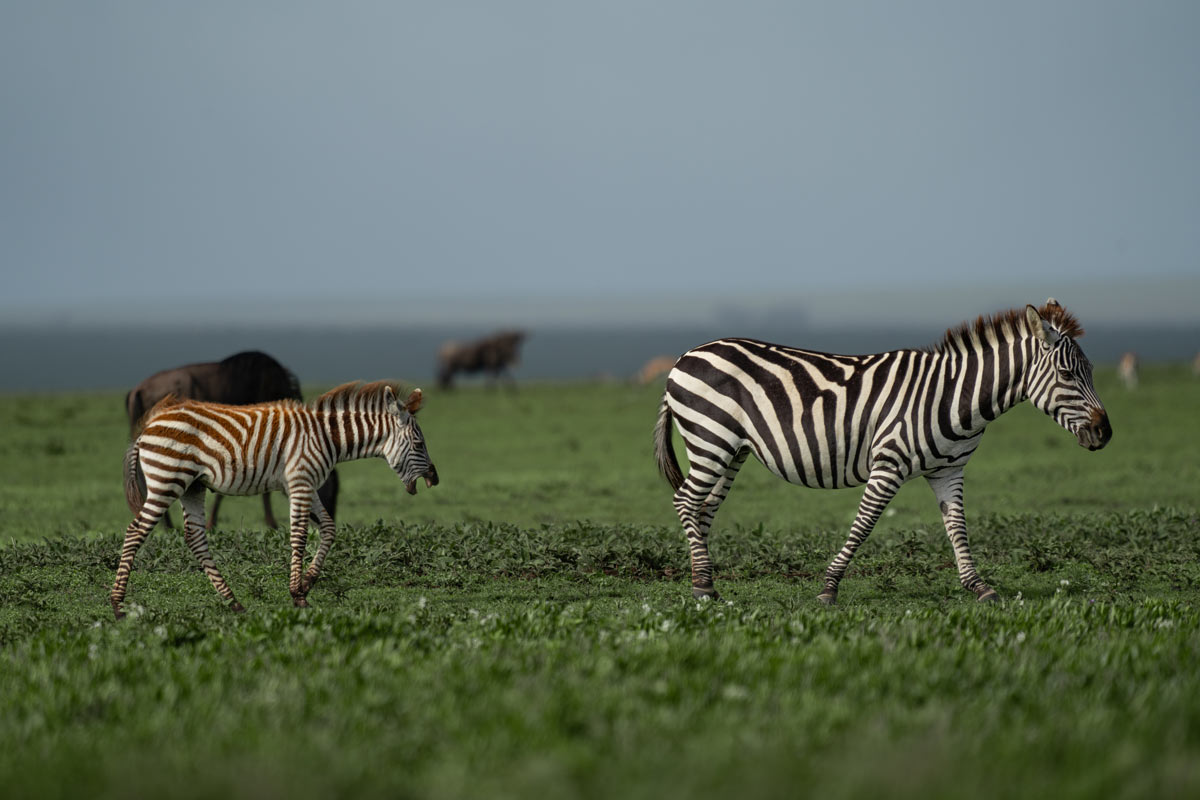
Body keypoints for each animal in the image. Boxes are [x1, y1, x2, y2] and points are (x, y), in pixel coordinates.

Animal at [111, 381, 441, 618]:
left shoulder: (303, 484)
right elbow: (299, 535)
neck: (327, 438)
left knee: (194, 537)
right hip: (167, 480)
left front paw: (307, 582)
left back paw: (233, 601)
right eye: (419, 443)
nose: (434, 479)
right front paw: (297, 594)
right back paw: (117, 605)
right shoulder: (300, 482)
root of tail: (148, 426)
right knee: (136, 531)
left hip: (192, 486)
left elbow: (329, 528)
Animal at [652, 298, 1108, 599]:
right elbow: (864, 524)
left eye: (1090, 371)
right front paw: (830, 587)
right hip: (711, 438)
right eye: (1068, 374)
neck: (953, 397)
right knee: (684, 501)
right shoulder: (889, 463)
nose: (1105, 433)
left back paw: (703, 579)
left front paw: (979, 587)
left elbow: (957, 526)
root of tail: (685, 355)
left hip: (730, 450)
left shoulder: (949, 469)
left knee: (704, 508)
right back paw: (703, 587)